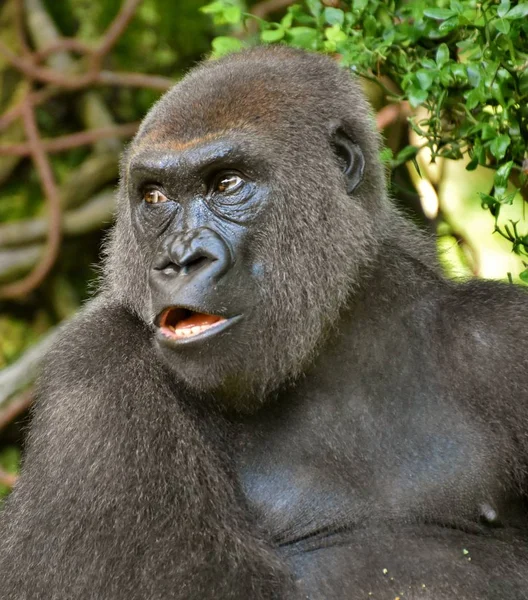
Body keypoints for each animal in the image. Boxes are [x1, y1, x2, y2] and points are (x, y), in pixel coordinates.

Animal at [1, 47, 528, 600]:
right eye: (154, 197)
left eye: (227, 183)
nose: (179, 260)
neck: (329, 343)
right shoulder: (91, 382)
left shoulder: (505, 337)